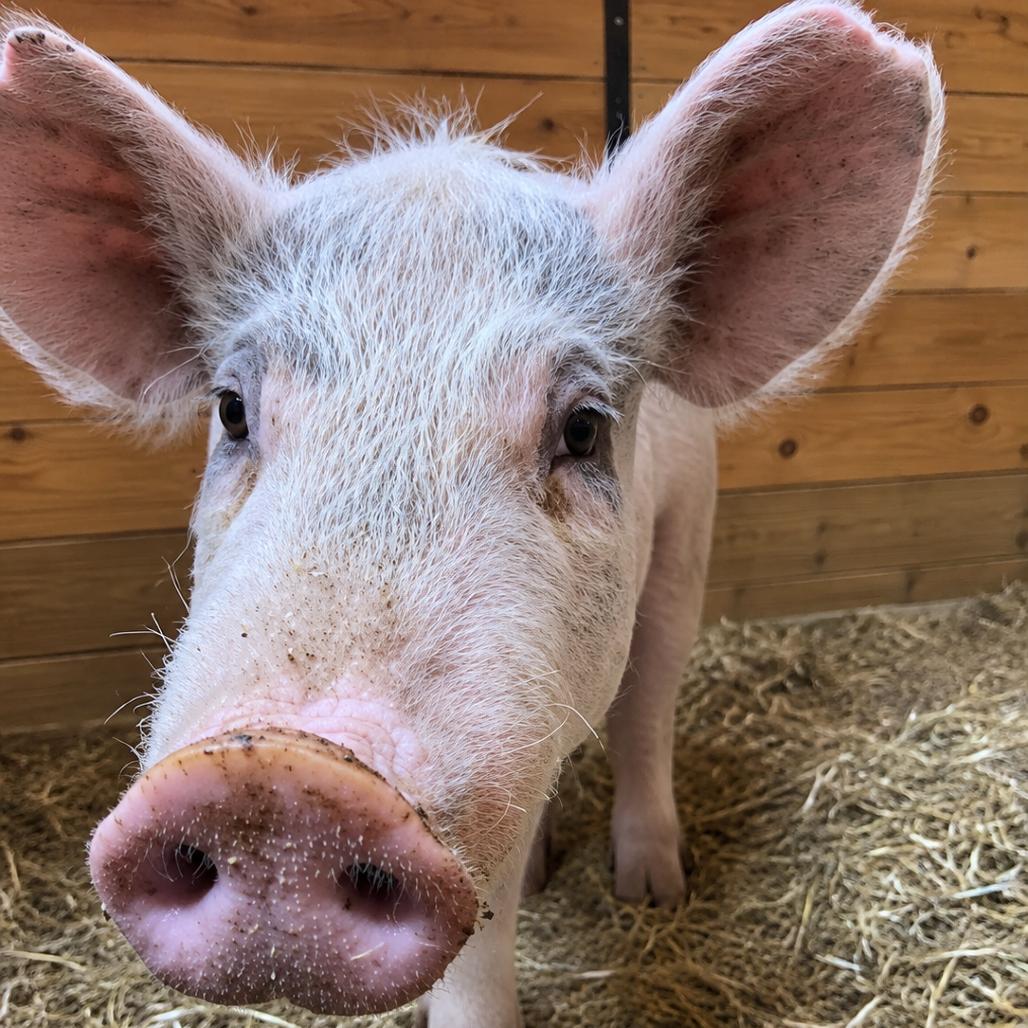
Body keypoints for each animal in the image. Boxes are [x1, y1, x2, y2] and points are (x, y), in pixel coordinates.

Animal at [0, 2, 942, 1023]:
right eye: (233, 409)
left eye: (584, 427)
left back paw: (652, 888)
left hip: (687, 539)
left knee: (648, 703)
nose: (282, 778)